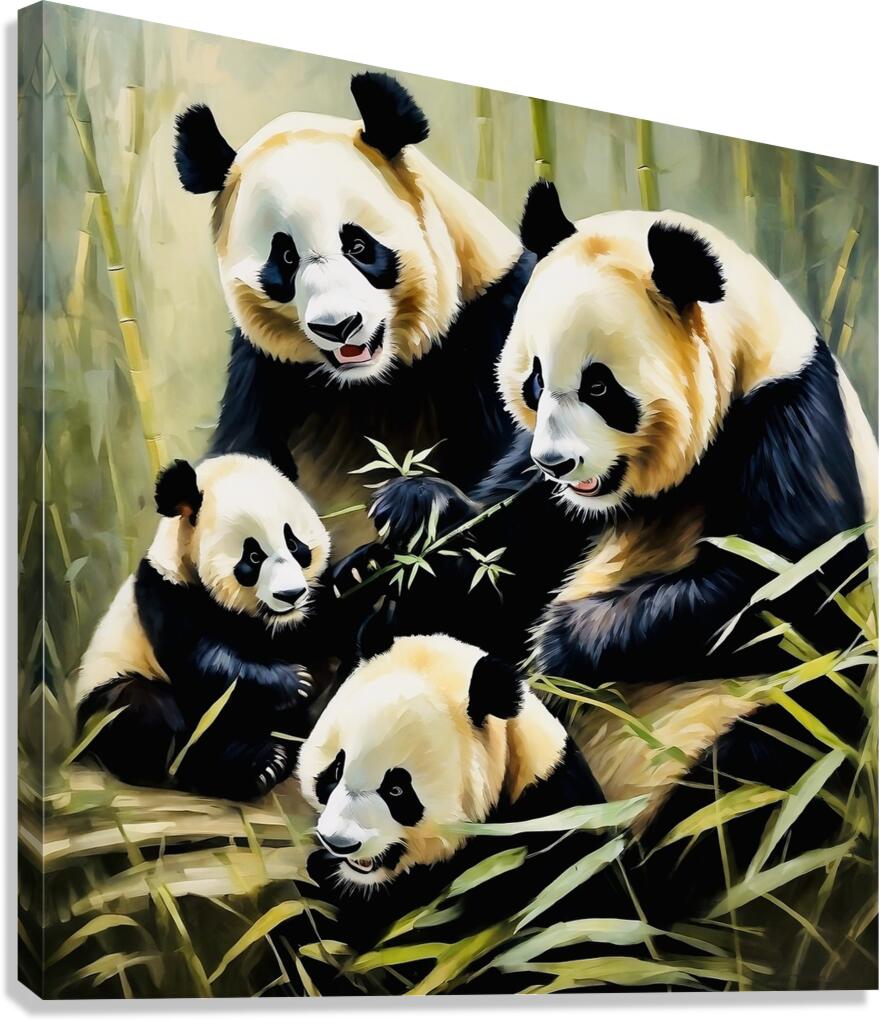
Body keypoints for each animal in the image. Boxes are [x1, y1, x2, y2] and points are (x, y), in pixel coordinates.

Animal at [74, 454, 332, 801]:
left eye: (293, 543)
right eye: (253, 555)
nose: (290, 595)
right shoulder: (166, 593)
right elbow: (203, 661)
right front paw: (295, 682)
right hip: (102, 698)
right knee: (140, 712)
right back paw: (245, 768)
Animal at [174, 72, 534, 560]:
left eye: (359, 246)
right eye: (285, 257)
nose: (338, 326)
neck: (373, 381)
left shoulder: (493, 318)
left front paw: (416, 506)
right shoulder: (264, 376)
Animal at [334, 183, 877, 922]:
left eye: (599, 386)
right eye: (534, 380)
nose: (559, 462)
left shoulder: (787, 415)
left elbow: (789, 585)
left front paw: (563, 641)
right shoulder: (549, 500)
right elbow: (496, 553)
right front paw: (409, 522)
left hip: (759, 720)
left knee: (752, 778)